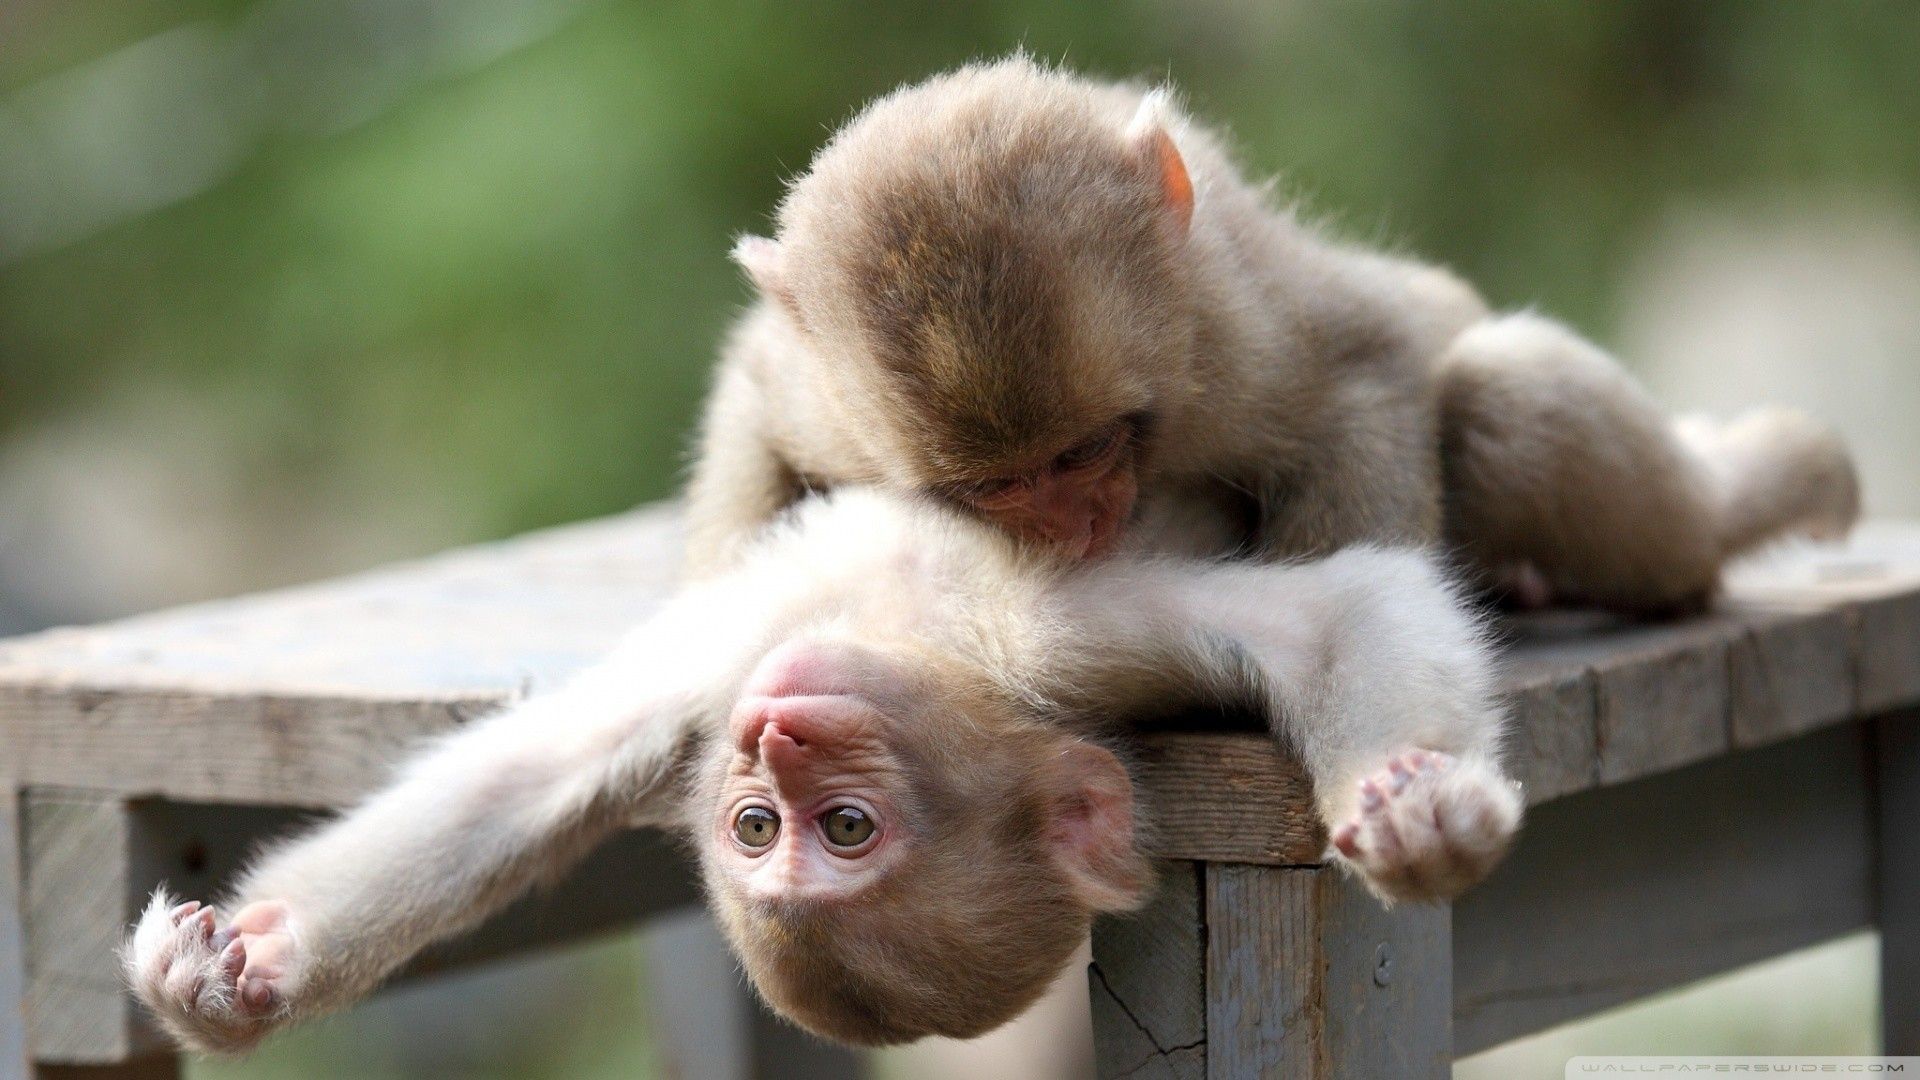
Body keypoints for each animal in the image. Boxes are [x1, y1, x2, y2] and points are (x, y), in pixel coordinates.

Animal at [124, 487, 1519, 1053]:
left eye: (843, 828)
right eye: (756, 828)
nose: (779, 736)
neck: (915, 639)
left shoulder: (1049, 643)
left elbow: (1347, 608)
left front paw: (1424, 818)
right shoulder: (720, 690)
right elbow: (522, 777)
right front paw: (238, 981)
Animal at [689, 56, 1859, 612]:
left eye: (1084, 453)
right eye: (997, 488)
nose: (1074, 526)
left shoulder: (1228, 341)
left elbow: (1367, 369)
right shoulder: (827, 399)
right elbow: (751, 394)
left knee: (1503, 398)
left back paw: (1720, 519)